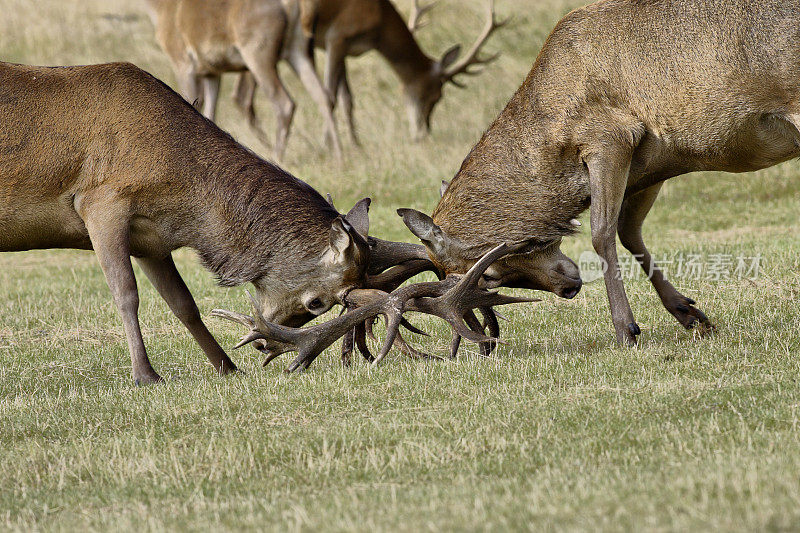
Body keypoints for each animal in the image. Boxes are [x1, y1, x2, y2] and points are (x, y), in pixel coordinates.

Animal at [0, 60, 428, 382]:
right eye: (318, 302)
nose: (265, 342)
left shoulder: (150, 239)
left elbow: (183, 303)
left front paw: (228, 367)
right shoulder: (99, 202)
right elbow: (126, 294)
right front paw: (145, 375)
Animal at [231, 0, 506, 144]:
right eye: (436, 95)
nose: (423, 132)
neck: (379, 22)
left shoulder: (343, 47)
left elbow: (347, 99)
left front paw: (355, 144)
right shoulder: (336, 37)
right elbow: (331, 94)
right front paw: (328, 143)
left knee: (242, 96)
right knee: (245, 97)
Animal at [404, 0, 800, 344]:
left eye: (488, 275)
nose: (569, 287)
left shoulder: (610, 138)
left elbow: (601, 231)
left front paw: (626, 328)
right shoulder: (653, 163)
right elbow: (629, 231)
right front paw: (690, 313)